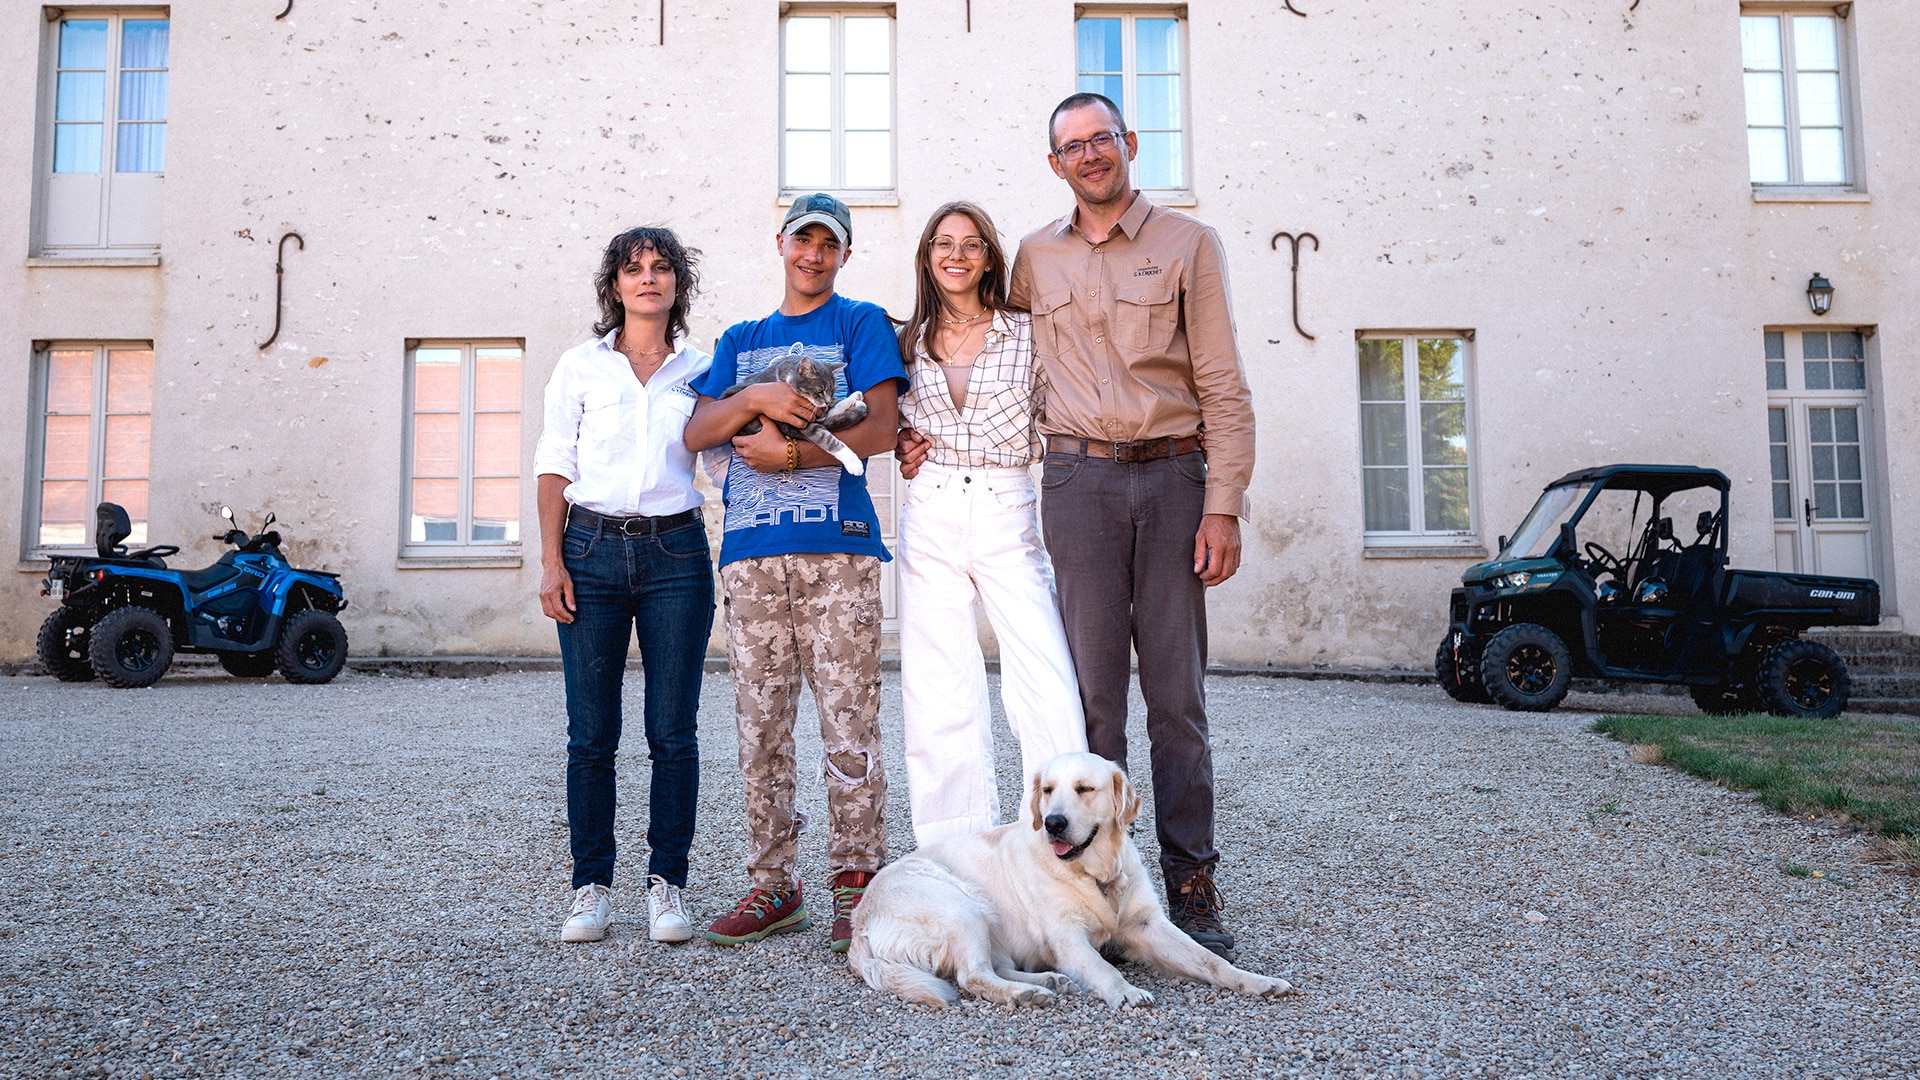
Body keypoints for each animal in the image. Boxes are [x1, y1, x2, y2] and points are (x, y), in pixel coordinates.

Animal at [721, 342, 871, 472]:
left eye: (833, 390)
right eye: (819, 391)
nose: (827, 402)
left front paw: (847, 399)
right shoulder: (799, 421)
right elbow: (826, 438)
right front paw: (853, 463)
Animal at [852, 753, 1290, 1006]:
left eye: (1084, 789)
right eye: (1047, 790)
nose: (1053, 823)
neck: (1097, 875)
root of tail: (860, 921)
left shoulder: (1148, 924)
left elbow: (1208, 959)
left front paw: (1255, 981)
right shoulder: (1067, 937)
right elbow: (1102, 968)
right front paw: (1126, 992)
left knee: (992, 967)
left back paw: (1049, 980)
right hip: (960, 908)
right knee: (973, 975)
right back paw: (1027, 993)